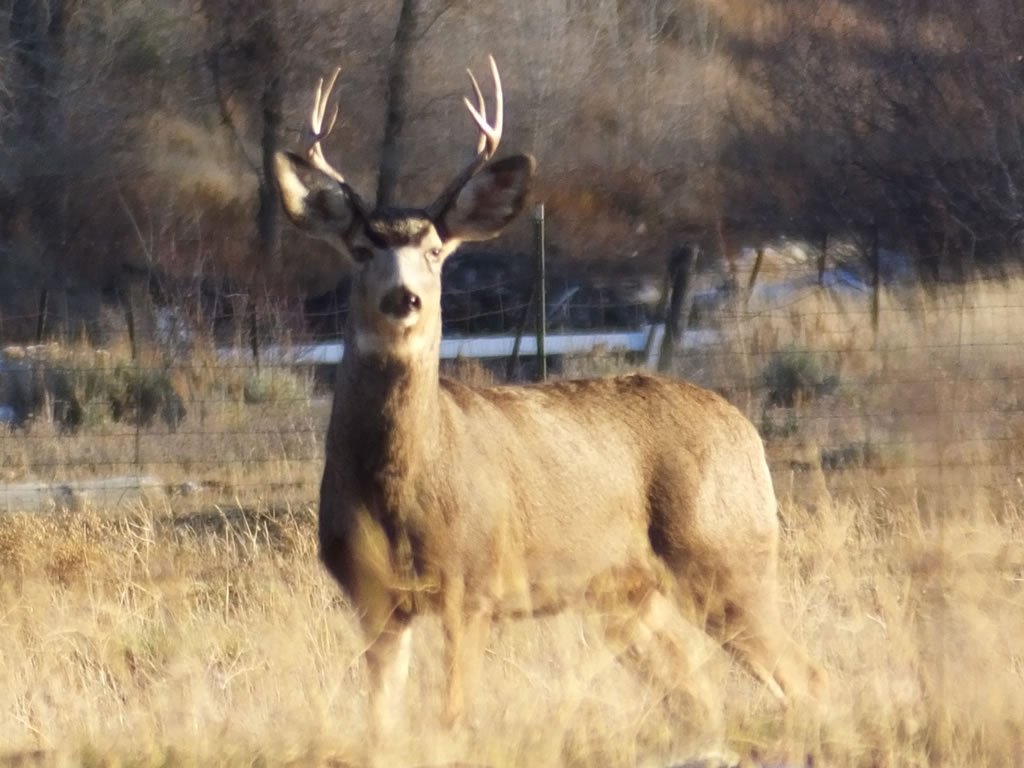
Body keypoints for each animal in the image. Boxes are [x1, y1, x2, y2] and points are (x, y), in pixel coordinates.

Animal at [274, 57, 826, 743]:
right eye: (360, 250)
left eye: (435, 251)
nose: (404, 298)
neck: (401, 485)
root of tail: (745, 429)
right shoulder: (374, 598)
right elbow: (382, 720)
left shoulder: (473, 580)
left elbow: (454, 715)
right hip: (627, 593)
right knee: (695, 691)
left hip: (726, 553)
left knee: (803, 673)